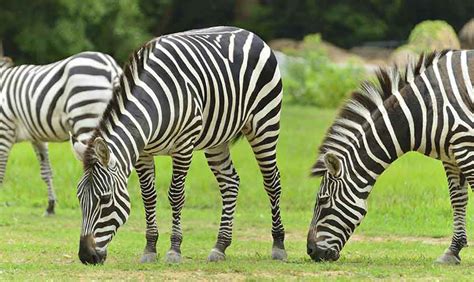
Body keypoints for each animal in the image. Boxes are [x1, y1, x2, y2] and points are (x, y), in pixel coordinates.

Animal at [0, 51, 122, 215]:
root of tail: (110, 65)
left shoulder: (5, 129)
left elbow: (1, 171)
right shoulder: (37, 137)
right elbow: (46, 171)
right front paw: (50, 206)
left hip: (86, 116)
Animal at [74, 26, 286, 264]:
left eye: (105, 199)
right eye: (80, 198)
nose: (86, 256)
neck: (154, 105)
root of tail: (250, 34)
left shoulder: (184, 146)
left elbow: (176, 195)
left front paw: (174, 250)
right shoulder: (143, 153)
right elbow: (148, 196)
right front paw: (150, 248)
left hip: (265, 123)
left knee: (272, 181)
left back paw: (278, 245)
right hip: (217, 138)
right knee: (230, 183)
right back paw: (220, 246)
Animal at [308, 49, 474, 264]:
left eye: (323, 200)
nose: (310, 251)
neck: (421, 112)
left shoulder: (465, 146)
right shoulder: (451, 155)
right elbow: (458, 200)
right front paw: (452, 251)